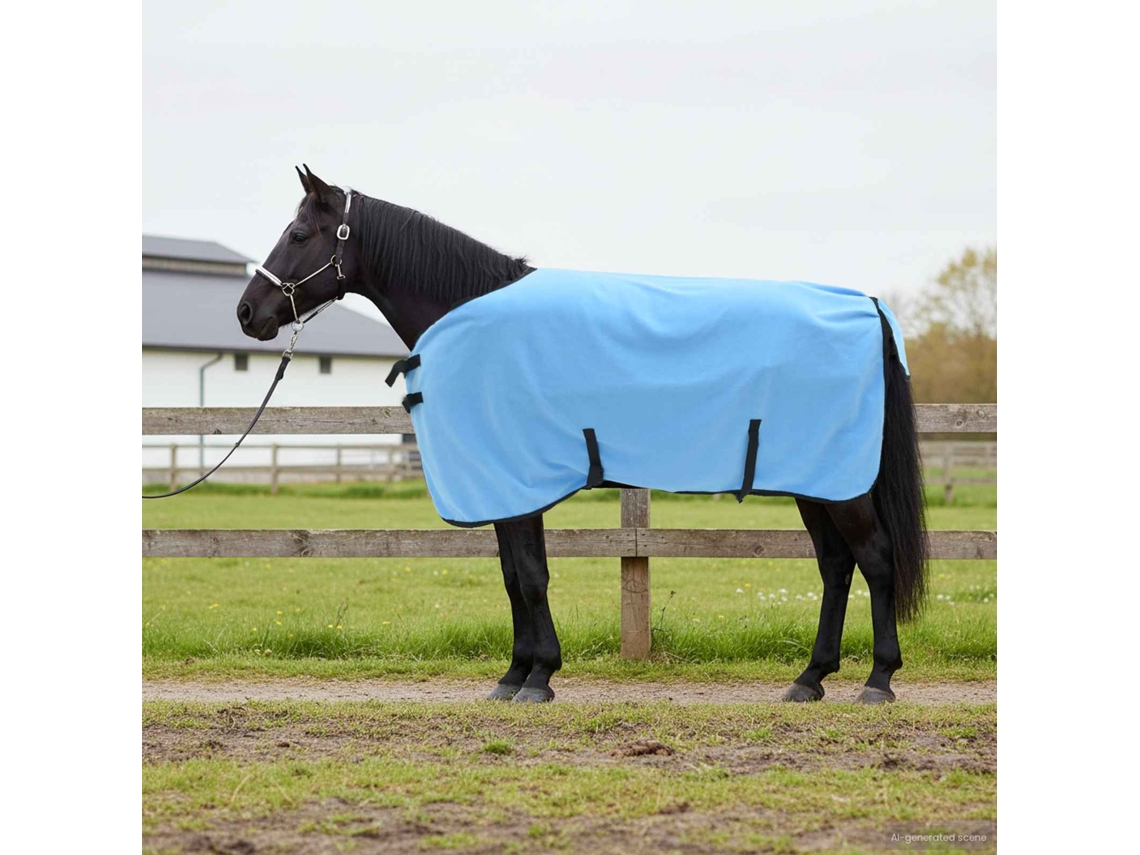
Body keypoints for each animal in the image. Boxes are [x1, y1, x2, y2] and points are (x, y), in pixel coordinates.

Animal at [237, 165, 928, 705]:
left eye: (298, 234)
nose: (248, 313)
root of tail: (865, 306)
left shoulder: (516, 481)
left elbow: (530, 576)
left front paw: (538, 677)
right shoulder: (508, 486)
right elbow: (514, 575)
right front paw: (515, 675)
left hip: (842, 485)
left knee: (876, 559)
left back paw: (878, 680)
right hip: (815, 479)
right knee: (836, 566)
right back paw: (810, 679)